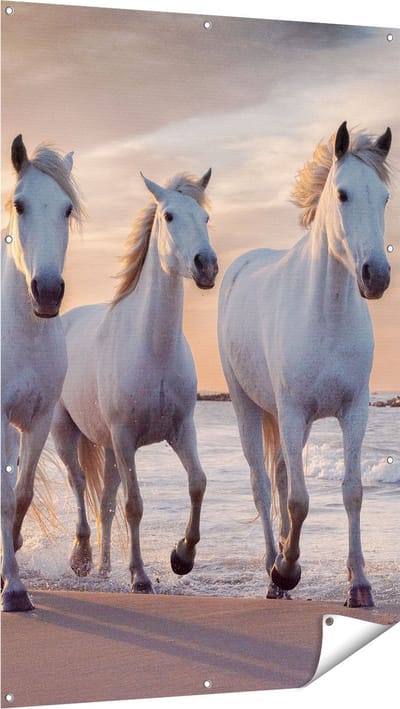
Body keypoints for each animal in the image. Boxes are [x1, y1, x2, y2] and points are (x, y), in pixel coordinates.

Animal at [50, 169, 218, 593]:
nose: (206, 265)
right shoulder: (126, 437)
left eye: (205, 218)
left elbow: (197, 483)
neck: (153, 348)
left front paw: (182, 557)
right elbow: (134, 505)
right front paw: (140, 576)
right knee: (79, 484)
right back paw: (82, 558)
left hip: (109, 449)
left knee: (105, 502)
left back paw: (105, 567)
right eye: (169, 216)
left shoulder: (181, 430)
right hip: (66, 432)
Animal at [218, 122, 392, 607]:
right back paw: (271, 571)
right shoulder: (293, 412)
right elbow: (298, 500)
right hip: (248, 407)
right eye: (343, 194)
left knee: (278, 476)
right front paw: (287, 569)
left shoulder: (354, 411)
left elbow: (352, 492)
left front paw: (359, 584)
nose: (377, 276)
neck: (326, 314)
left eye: (384, 198)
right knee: (262, 486)